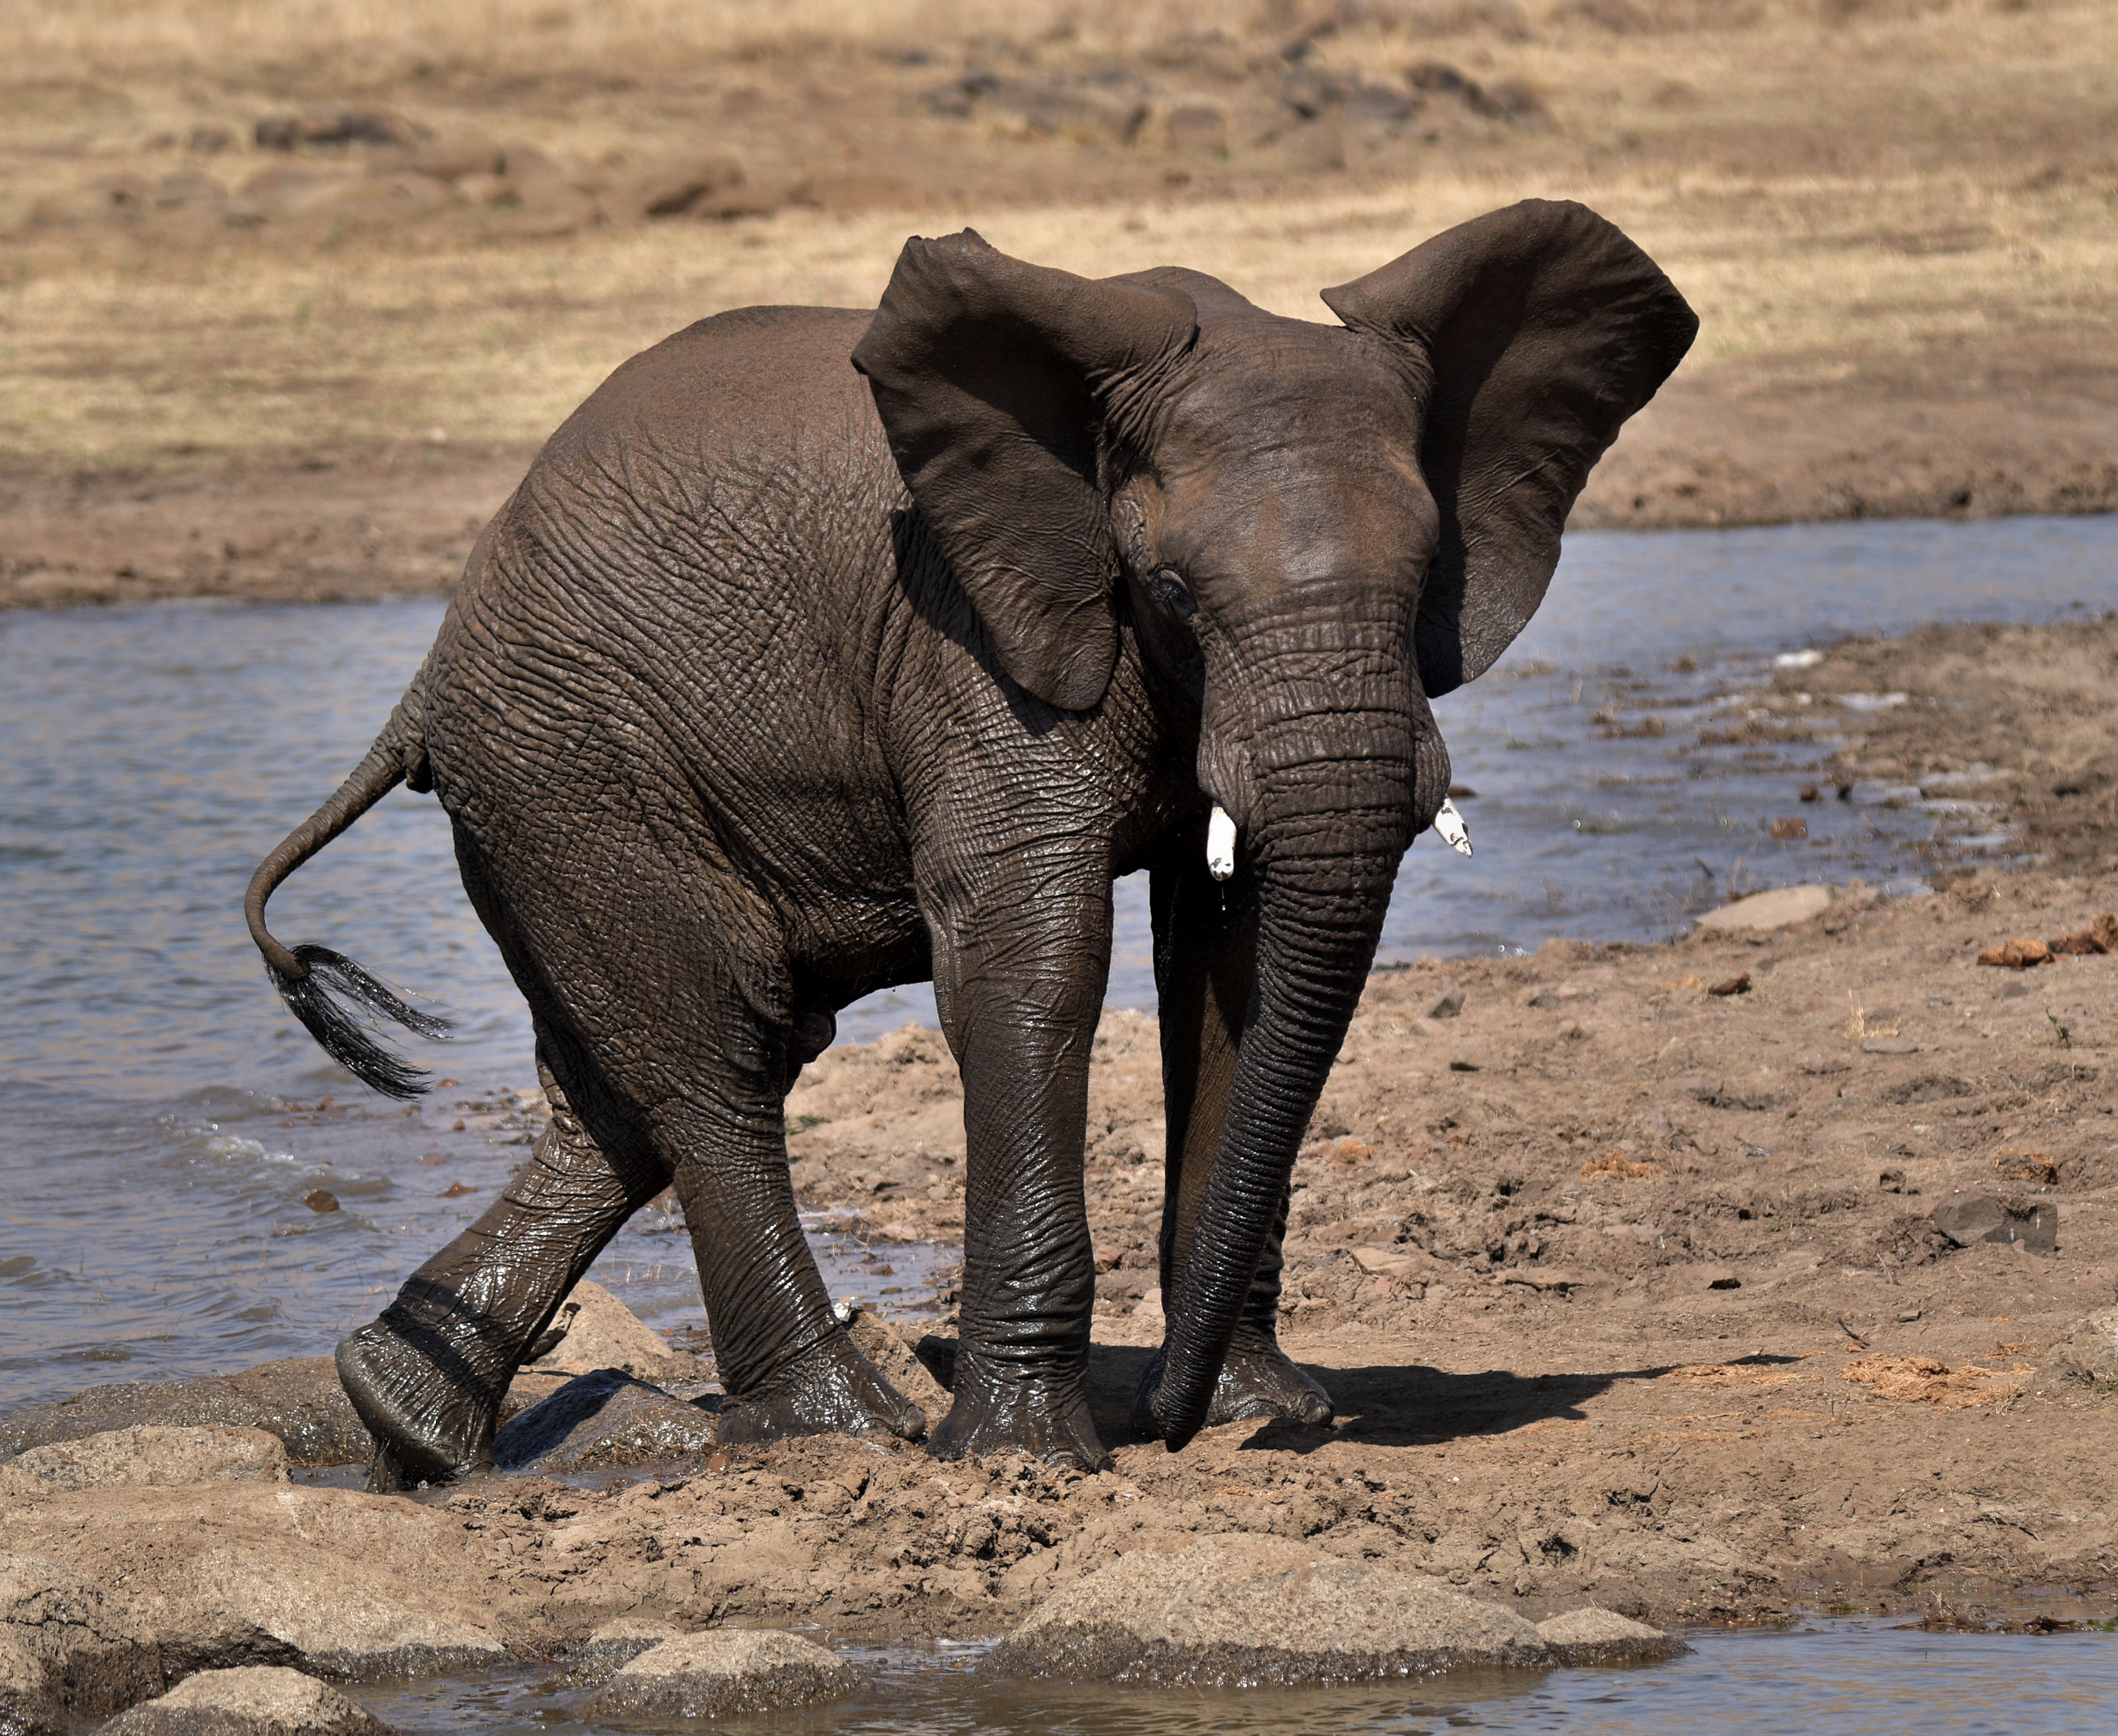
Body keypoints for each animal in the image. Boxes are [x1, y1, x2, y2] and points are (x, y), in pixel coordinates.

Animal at [245, 198, 1694, 1487]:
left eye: (1428, 578)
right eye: (1172, 591)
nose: (1169, 1424)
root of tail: (427, 680)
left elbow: (1231, 964)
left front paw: (1261, 1410)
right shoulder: (972, 640)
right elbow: (1030, 960)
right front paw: (1027, 1458)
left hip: (548, 792)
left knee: (628, 1087)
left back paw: (405, 1417)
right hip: (572, 760)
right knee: (723, 1052)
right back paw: (848, 1428)